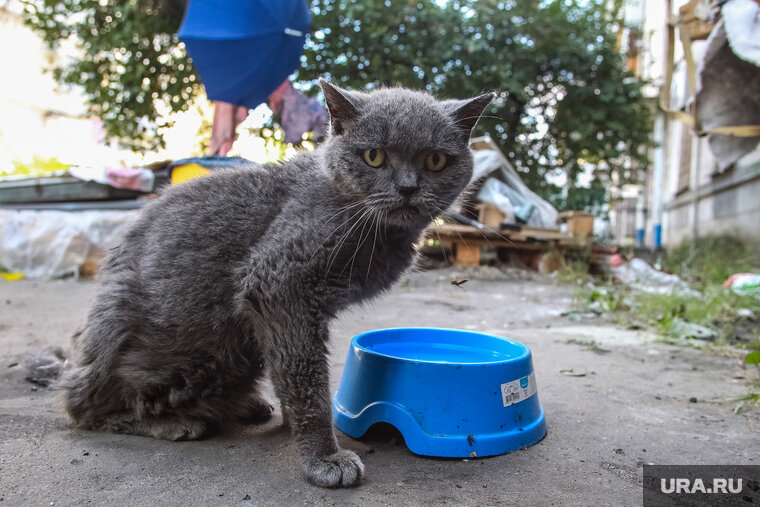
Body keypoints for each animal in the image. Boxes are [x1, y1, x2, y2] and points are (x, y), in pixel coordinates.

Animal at [63, 81, 492, 490]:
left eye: (435, 160)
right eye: (374, 156)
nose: (407, 188)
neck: (373, 227)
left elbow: (287, 368)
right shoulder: (280, 284)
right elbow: (305, 379)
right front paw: (323, 457)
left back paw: (247, 406)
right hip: (183, 348)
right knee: (82, 408)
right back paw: (172, 422)